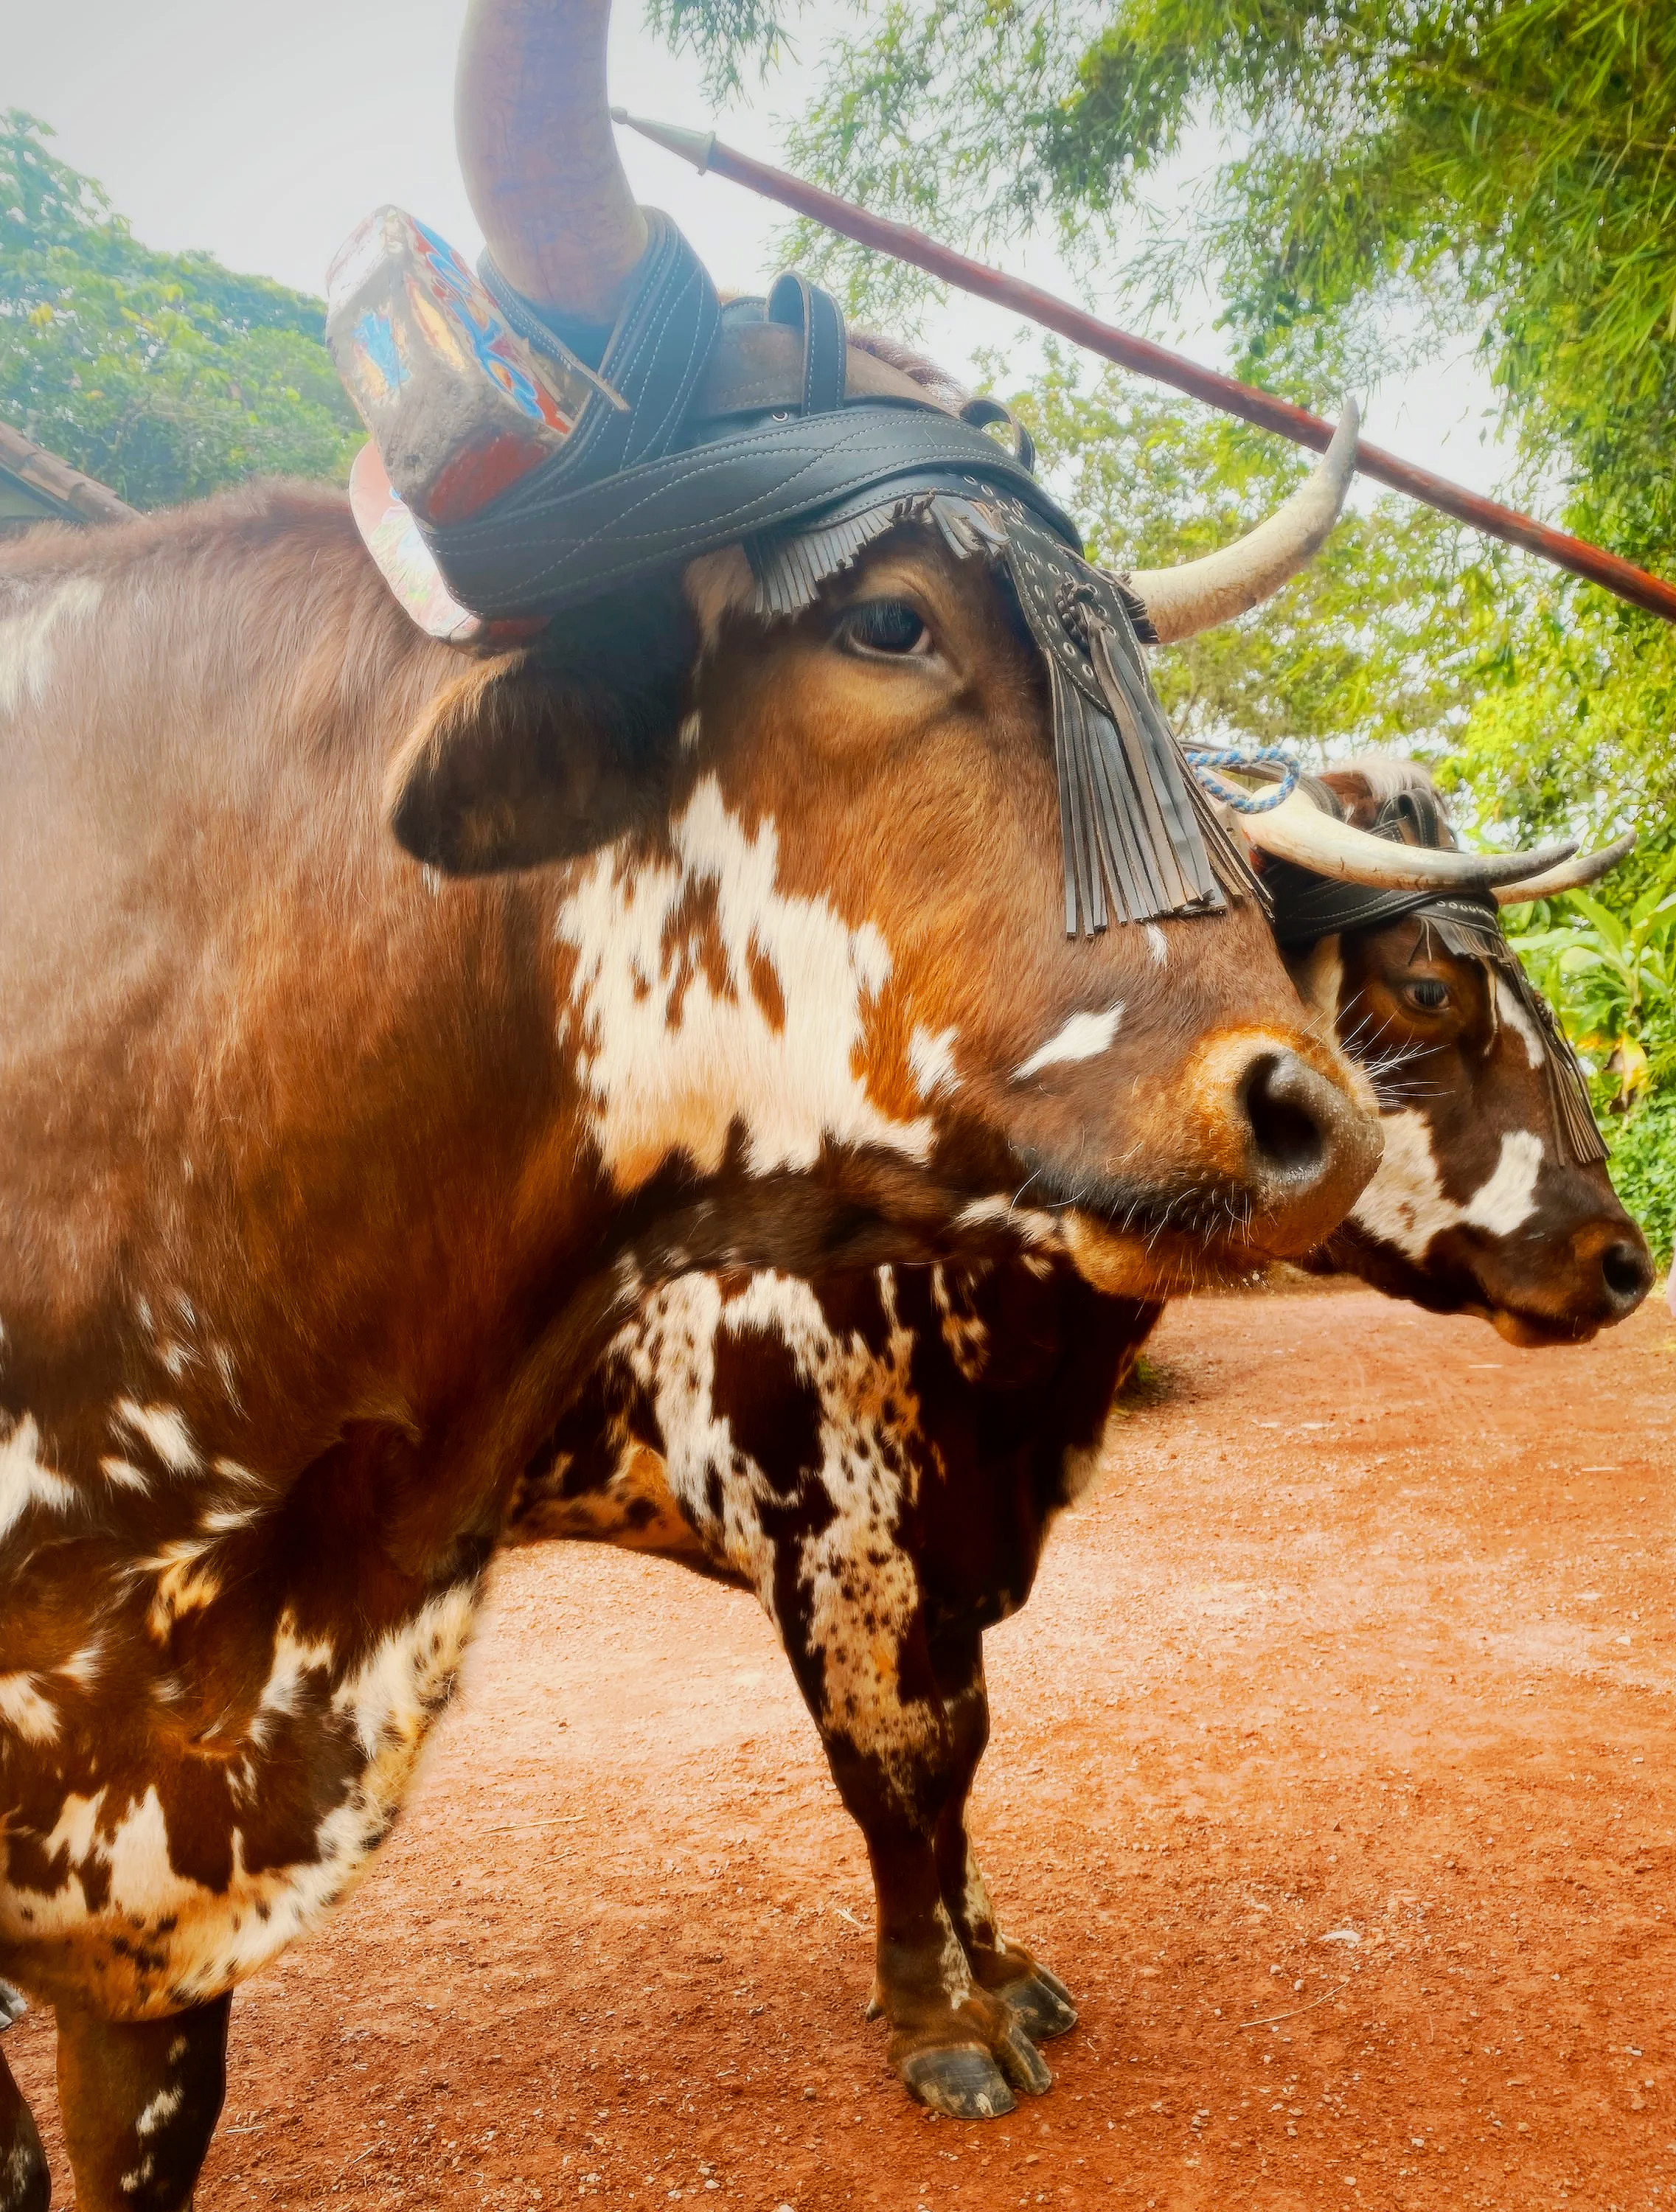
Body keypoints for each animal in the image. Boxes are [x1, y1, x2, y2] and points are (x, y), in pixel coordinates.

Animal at [508, 761, 1652, 2119]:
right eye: (1429, 989)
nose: (1622, 1262)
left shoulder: (945, 1555)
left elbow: (958, 1760)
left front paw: (994, 1970)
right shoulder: (833, 1554)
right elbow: (893, 1778)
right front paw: (938, 2017)